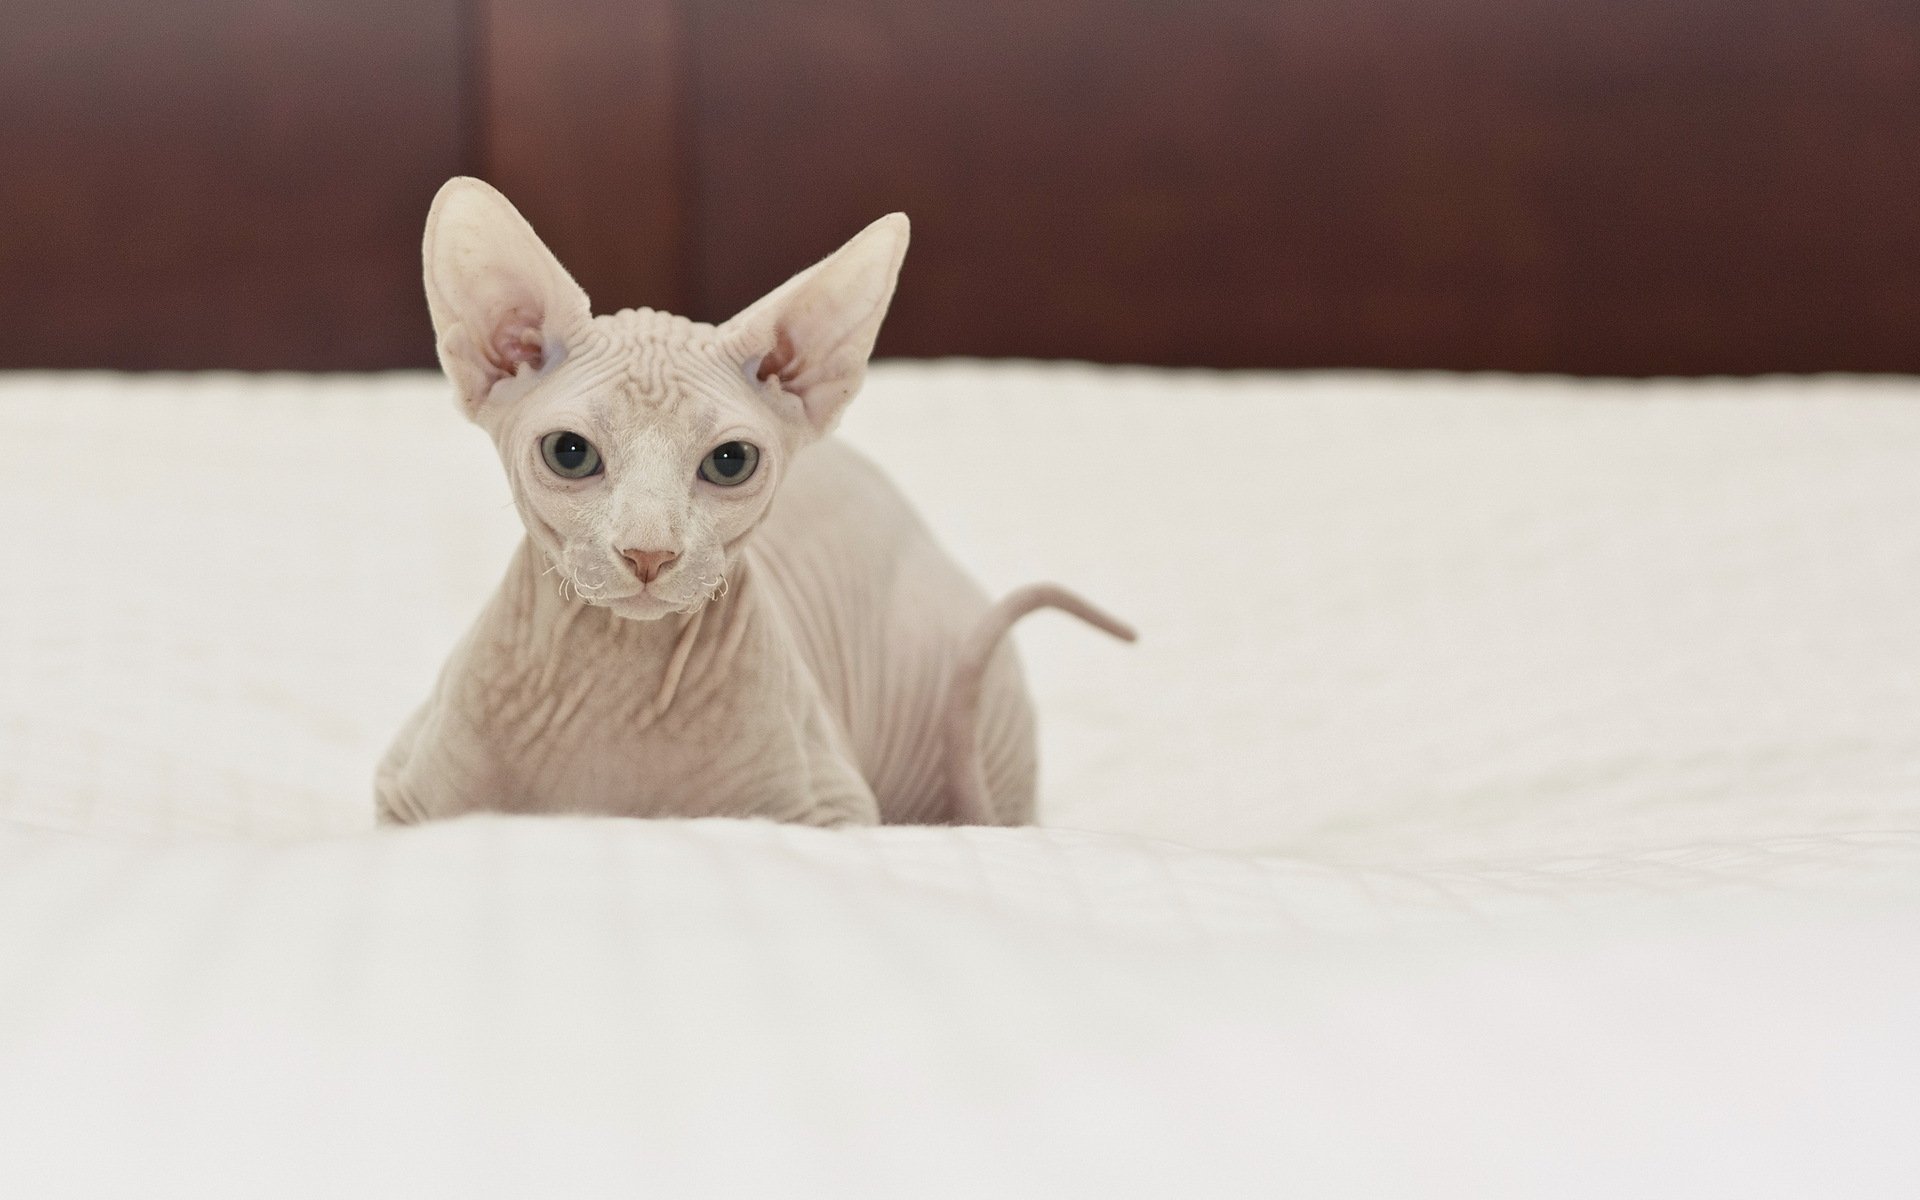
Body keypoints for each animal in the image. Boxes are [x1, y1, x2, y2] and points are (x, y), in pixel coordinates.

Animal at [372, 177, 1121, 829]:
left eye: (730, 462)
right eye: (569, 453)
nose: (649, 554)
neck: (613, 672)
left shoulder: (833, 809)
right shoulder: (403, 798)